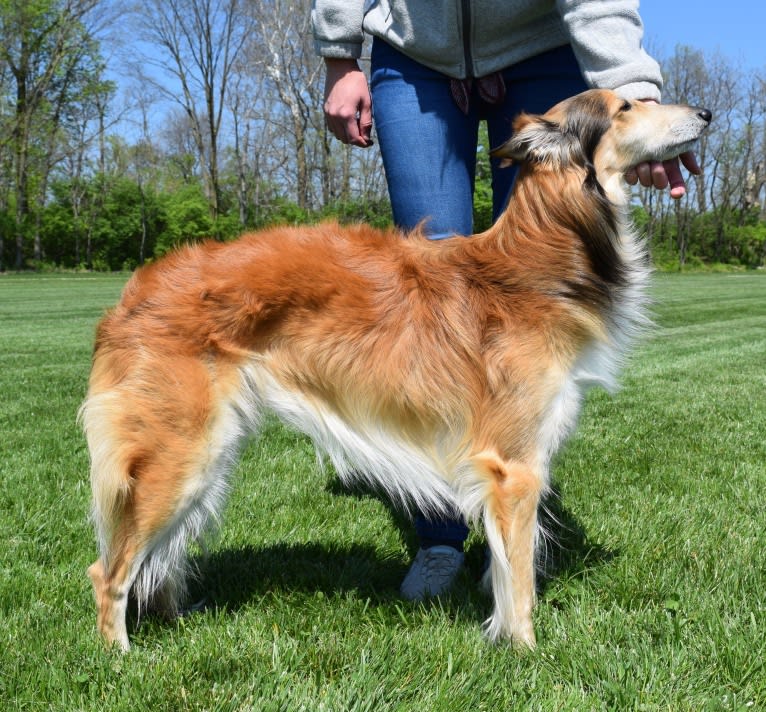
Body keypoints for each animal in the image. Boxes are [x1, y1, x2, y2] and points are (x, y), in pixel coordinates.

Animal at [81, 90, 712, 652]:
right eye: (626, 106)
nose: (706, 114)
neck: (536, 261)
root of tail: (135, 292)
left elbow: (505, 570)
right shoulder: (513, 468)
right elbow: (520, 581)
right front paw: (525, 653)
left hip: (205, 454)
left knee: (158, 560)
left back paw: (175, 620)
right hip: (180, 454)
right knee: (107, 572)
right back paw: (120, 658)